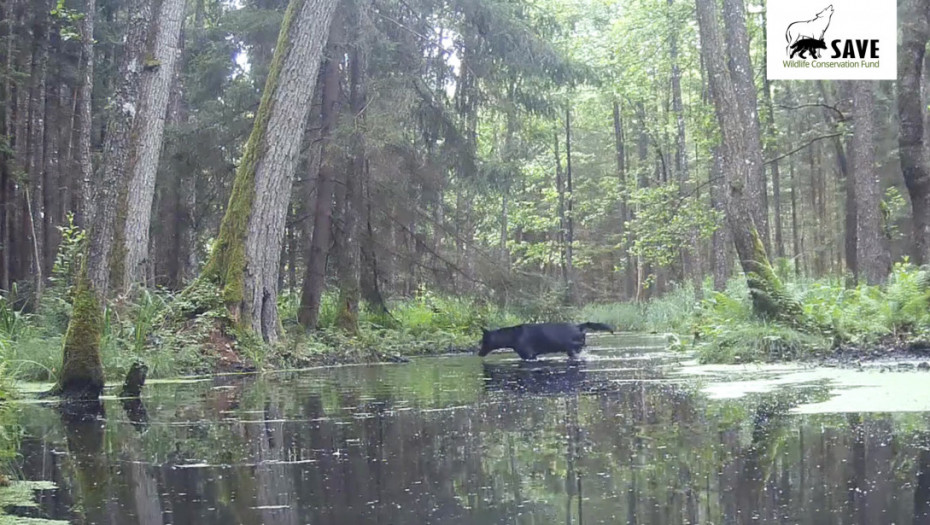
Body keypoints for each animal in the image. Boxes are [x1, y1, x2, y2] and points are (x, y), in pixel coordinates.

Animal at [478, 320, 616, 360]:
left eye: (483, 341)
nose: (479, 353)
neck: (512, 337)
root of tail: (579, 326)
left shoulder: (529, 355)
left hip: (572, 349)